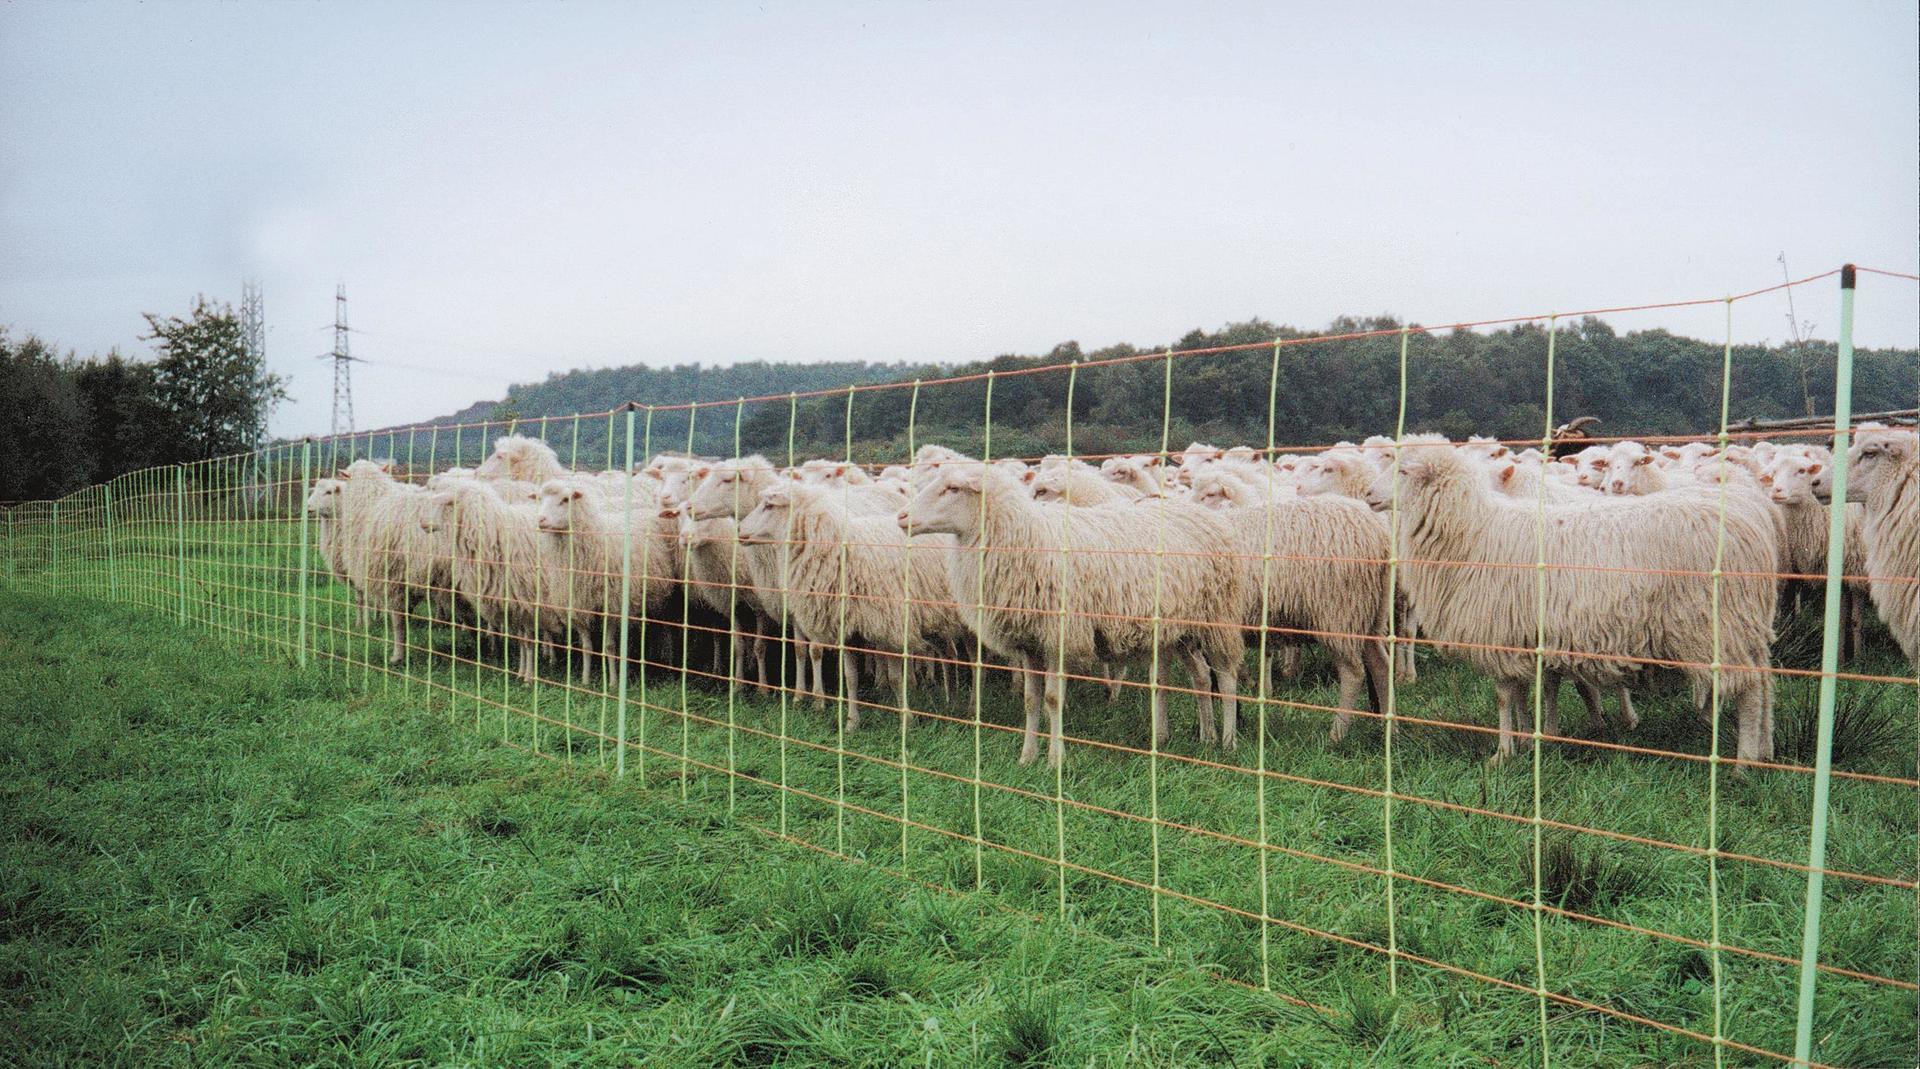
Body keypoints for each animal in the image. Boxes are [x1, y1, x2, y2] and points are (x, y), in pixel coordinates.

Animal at [900, 457, 1247, 766]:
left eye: (952, 488)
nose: (902, 517)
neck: (1024, 537)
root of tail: (1203, 514)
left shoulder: (1059, 636)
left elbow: (1053, 699)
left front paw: (1055, 761)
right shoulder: (1030, 643)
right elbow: (1031, 701)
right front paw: (1026, 758)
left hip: (1217, 617)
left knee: (1226, 677)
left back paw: (1228, 743)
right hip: (1179, 629)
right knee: (1195, 676)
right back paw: (1196, 737)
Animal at [1370, 435, 1778, 764]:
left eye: (1403, 470)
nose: (1370, 495)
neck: (1471, 530)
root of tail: (1752, 527)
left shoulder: (1500, 632)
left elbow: (1504, 696)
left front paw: (1502, 754)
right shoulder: (1524, 635)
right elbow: (1523, 694)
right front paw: (1528, 741)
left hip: (1714, 625)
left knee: (1748, 688)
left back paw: (1742, 764)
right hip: (1743, 623)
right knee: (1763, 682)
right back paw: (1765, 750)